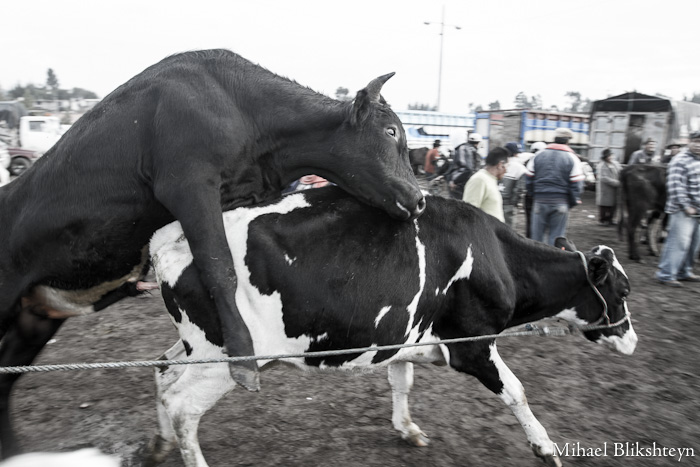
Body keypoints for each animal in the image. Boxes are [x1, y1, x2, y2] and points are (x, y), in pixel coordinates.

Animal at [0, 49, 424, 458]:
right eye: (391, 131)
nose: (420, 199)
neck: (247, 113)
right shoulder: (188, 185)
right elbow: (220, 268)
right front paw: (243, 358)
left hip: (33, 321)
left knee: (7, 374)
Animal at [146, 187, 636, 467]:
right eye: (624, 290)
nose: (632, 339)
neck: (494, 255)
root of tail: (168, 237)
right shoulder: (473, 344)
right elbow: (517, 391)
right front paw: (545, 447)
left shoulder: (404, 339)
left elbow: (402, 381)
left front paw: (407, 428)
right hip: (227, 357)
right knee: (183, 405)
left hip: (194, 347)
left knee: (162, 373)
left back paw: (159, 445)